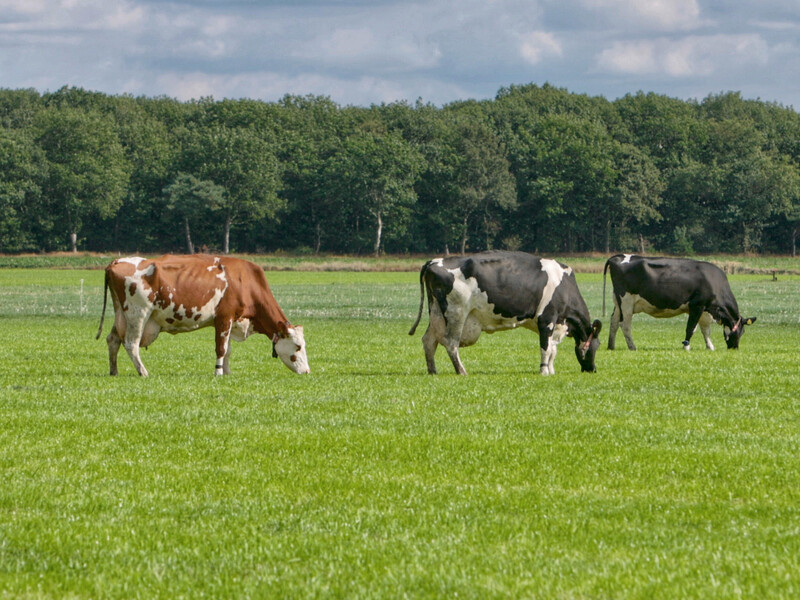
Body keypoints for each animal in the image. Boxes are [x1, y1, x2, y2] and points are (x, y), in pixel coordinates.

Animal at [96, 255, 310, 378]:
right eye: (298, 347)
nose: (307, 371)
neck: (244, 281)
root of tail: (116, 261)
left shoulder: (231, 321)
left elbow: (228, 350)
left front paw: (227, 373)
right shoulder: (224, 318)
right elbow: (221, 349)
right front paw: (218, 372)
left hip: (121, 316)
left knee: (113, 340)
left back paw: (114, 371)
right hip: (137, 314)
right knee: (131, 344)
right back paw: (143, 372)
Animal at [406, 252, 600, 376]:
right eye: (596, 346)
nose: (593, 369)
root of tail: (433, 261)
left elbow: (553, 349)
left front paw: (551, 370)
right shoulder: (547, 319)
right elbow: (546, 348)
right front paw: (544, 371)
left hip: (437, 313)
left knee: (429, 340)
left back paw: (433, 371)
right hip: (457, 312)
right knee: (451, 343)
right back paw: (461, 371)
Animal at [608, 253, 756, 352]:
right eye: (740, 332)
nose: (734, 348)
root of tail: (617, 257)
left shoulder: (704, 310)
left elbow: (705, 330)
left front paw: (710, 346)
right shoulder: (697, 305)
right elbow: (691, 328)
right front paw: (686, 346)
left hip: (618, 304)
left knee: (614, 322)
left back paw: (611, 346)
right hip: (626, 302)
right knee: (625, 325)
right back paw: (632, 347)